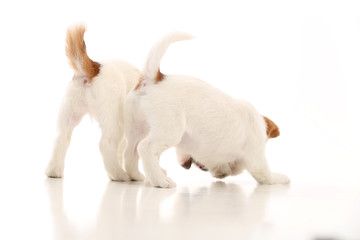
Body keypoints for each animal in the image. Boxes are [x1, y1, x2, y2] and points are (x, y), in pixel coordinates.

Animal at [46, 24, 143, 182]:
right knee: (105, 144)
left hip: (69, 116)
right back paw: (119, 174)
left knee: (60, 139)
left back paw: (54, 171)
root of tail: (95, 67)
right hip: (113, 121)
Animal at [124, 32, 290, 188]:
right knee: (145, 147)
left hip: (137, 129)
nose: (187, 166)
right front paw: (280, 178)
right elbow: (265, 175)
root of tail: (156, 79)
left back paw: (137, 175)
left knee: (131, 153)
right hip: (170, 131)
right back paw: (160, 180)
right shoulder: (256, 158)